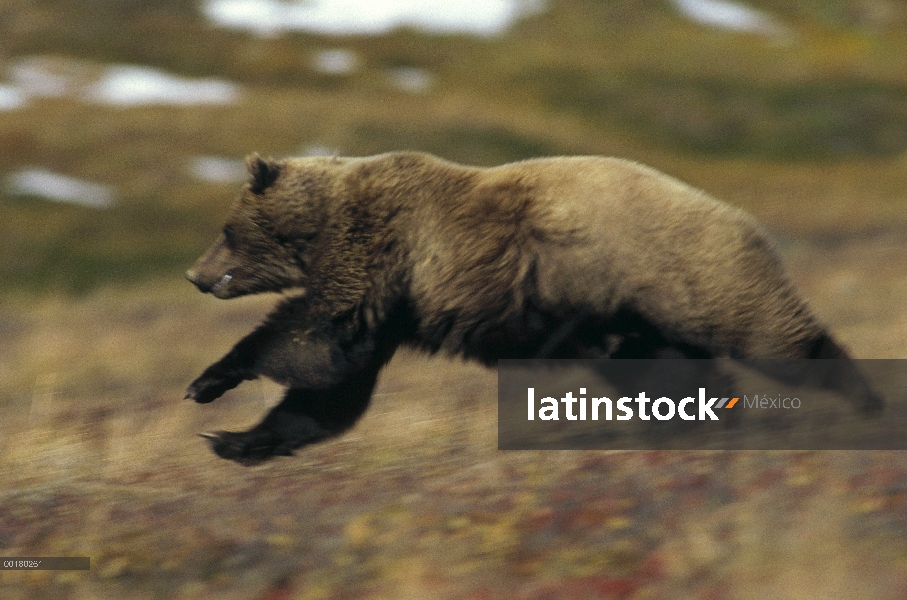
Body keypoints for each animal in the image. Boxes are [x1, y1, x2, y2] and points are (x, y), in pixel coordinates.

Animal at [188, 150, 884, 464]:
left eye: (226, 228)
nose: (196, 275)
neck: (322, 224)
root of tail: (744, 216)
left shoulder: (380, 250)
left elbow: (317, 337)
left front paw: (210, 382)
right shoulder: (392, 301)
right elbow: (333, 383)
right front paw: (234, 439)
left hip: (680, 273)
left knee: (774, 337)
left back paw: (868, 403)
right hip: (624, 318)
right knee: (673, 375)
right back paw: (694, 429)